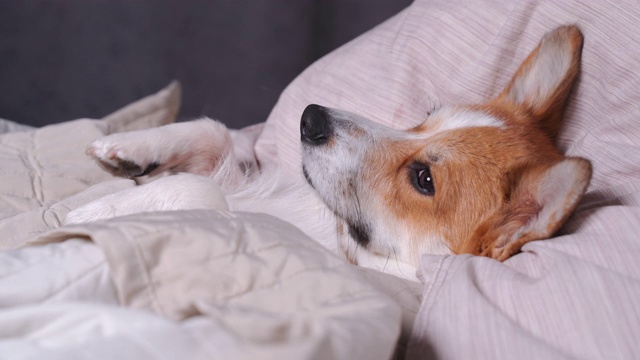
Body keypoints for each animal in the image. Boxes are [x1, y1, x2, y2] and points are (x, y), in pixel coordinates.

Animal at [65, 26, 592, 282]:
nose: (310, 117)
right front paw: (123, 150)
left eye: (423, 179)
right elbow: (211, 133)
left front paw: (92, 213)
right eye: (425, 117)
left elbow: (200, 188)